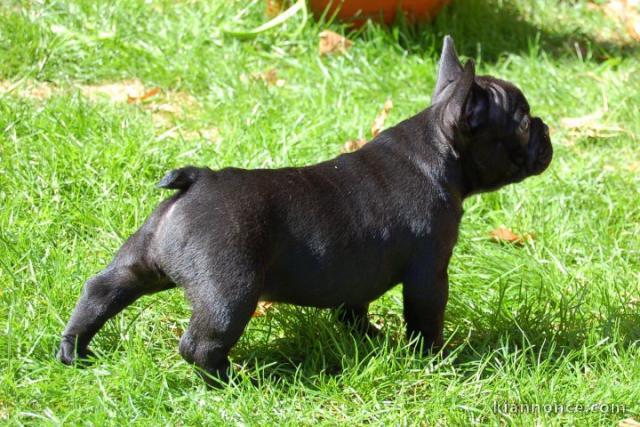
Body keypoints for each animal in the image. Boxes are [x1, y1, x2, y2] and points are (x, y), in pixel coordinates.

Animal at [57, 36, 552, 384]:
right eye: (523, 123)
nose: (545, 125)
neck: (436, 146)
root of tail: (198, 182)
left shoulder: (357, 273)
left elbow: (354, 306)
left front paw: (368, 338)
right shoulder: (428, 272)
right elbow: (425, 316)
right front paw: (432, 357)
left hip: (141, 262)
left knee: (101, 290)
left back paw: (74, 351)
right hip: (229, 290)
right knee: (200, 344)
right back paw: (234, 381)